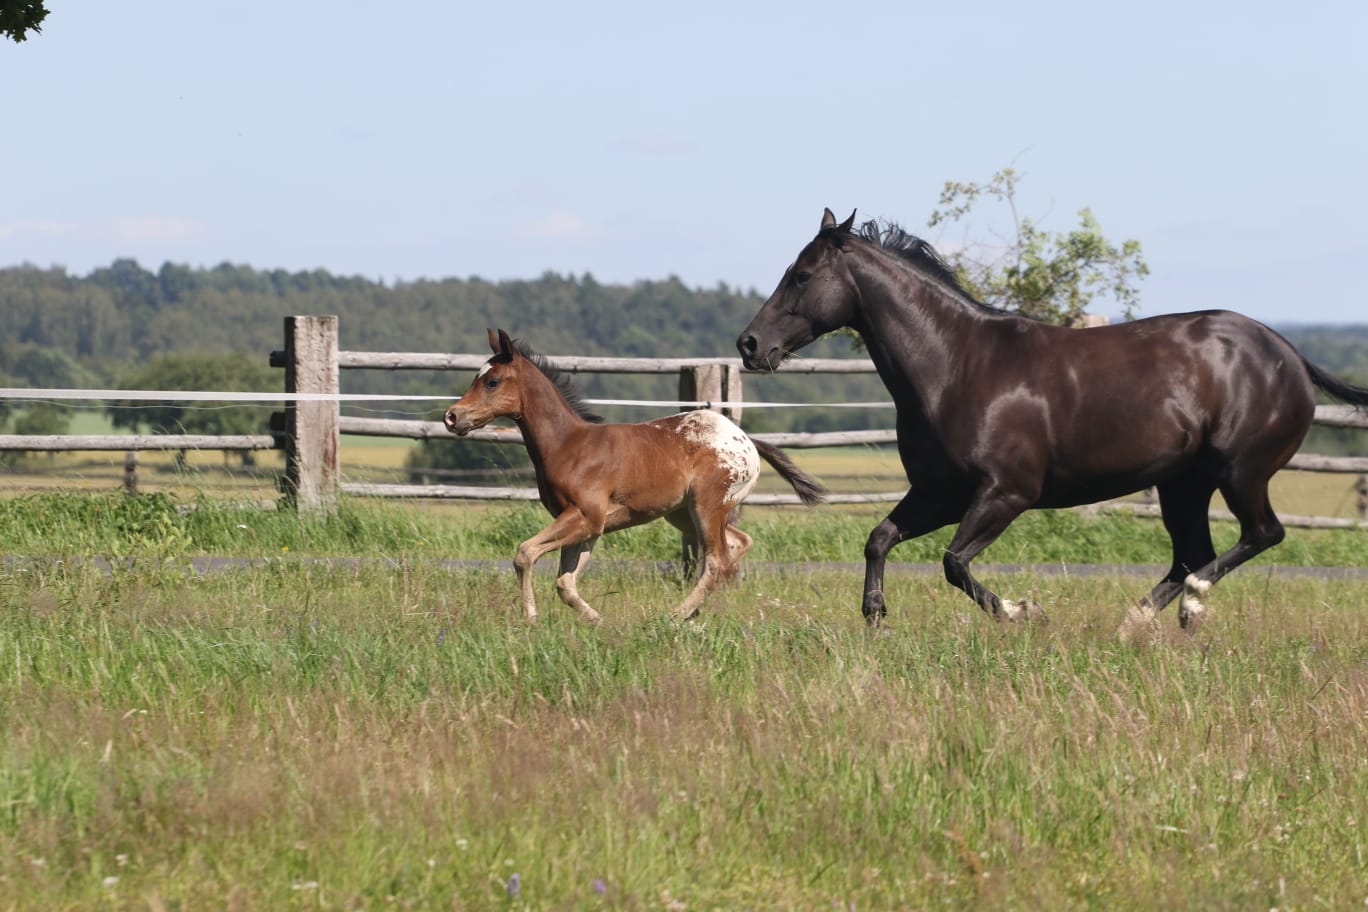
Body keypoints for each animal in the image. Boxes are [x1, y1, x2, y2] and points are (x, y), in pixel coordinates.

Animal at [738, 211, 1368, 631]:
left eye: (802, 275)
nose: (749, 345)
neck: (958, 366)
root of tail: (1288, 353)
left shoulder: (1006, 493)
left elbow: (953, 562)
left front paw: (1023, 611)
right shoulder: (940, 491)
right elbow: (880, 538)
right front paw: (875, 616)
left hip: (1241, 472)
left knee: (1259, 535)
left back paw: (1188, 603)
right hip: (1181, 484)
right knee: (1191, 551)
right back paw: (1139, 623)